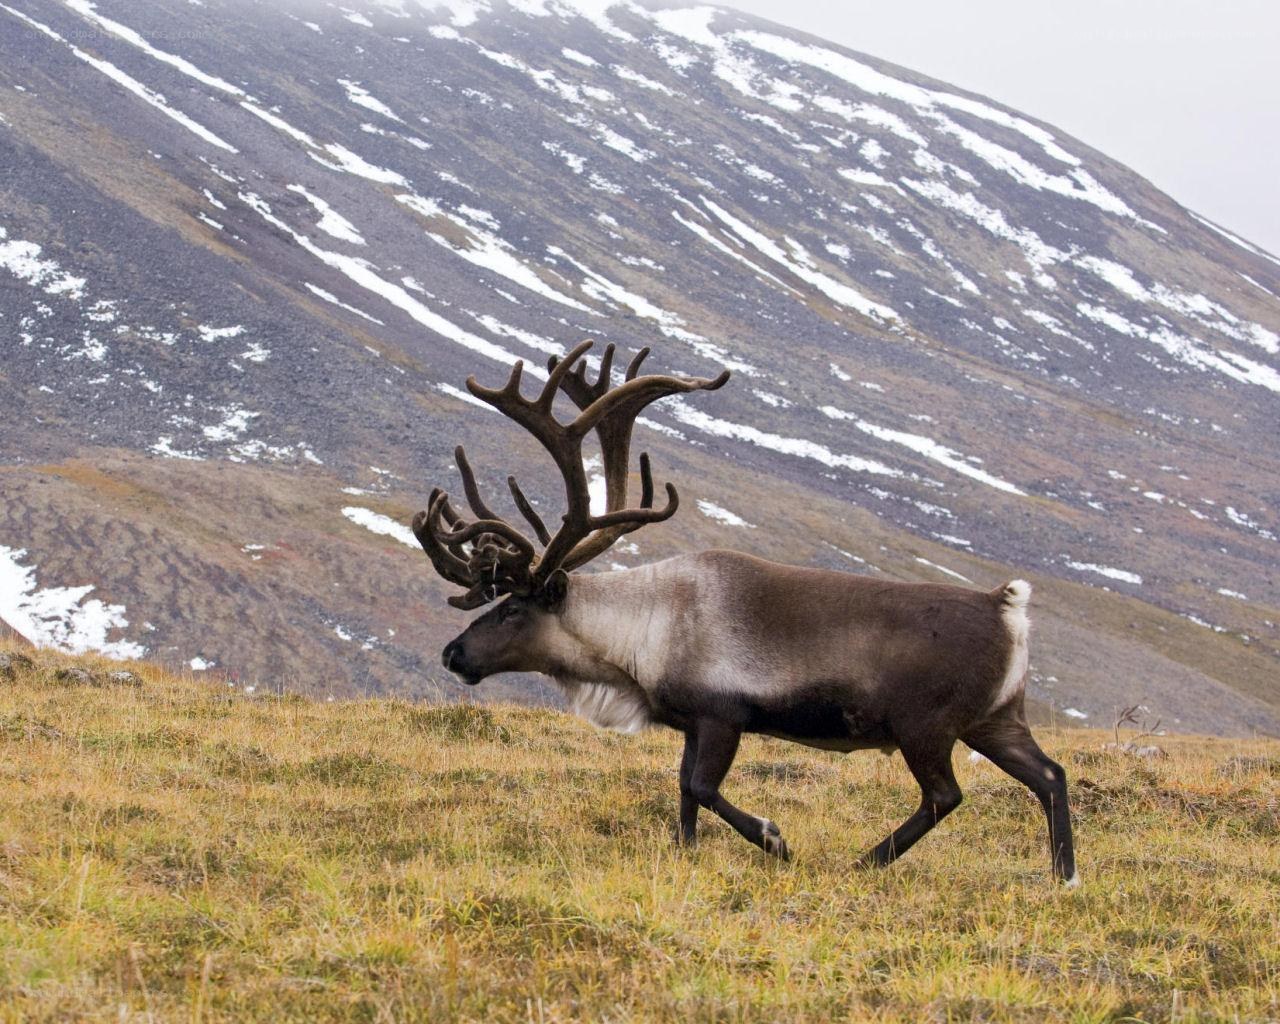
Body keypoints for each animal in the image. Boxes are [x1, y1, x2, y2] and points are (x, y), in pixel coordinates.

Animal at [412, 341, 1078, 885]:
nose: (452, 653)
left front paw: (774, 839)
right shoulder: (688, 722)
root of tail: (1007, 607)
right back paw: (1063, 876)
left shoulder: (721, 716)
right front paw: (684, 855)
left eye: (513, 609)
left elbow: (703, 787)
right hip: (993, 718)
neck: (642, 631)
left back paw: (866, 861)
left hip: (926, 726)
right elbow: (683, 792)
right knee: (1049, 774)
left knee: (945, 795)